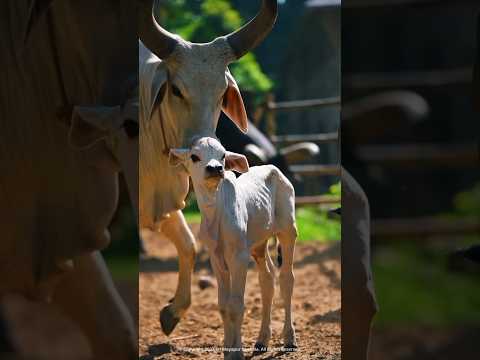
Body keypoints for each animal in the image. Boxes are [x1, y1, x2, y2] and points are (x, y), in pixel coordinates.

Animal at [169, 136, 296, 358]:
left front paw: (236, 352)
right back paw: (262, 340)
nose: (215, 168)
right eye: (194, 156)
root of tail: (274, 169)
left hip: (288, 231)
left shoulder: (238, 257)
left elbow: (235, 305)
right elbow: (223, 305)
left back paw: (289, 338)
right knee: (267, 279)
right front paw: (228, 348)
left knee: (286, 279)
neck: (216, 211)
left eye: (222, 156)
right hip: (258, 244)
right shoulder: (216, 258)